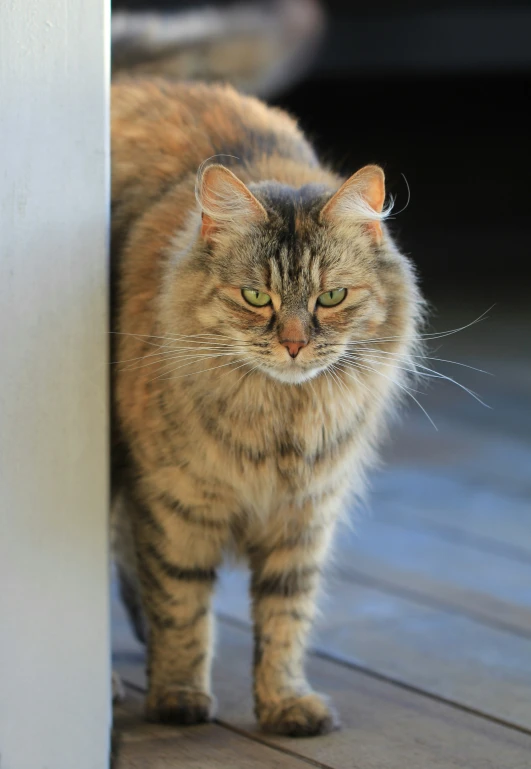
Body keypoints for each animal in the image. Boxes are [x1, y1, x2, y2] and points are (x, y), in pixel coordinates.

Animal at [111, 75, 424, 736]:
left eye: (332, 297)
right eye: (257, 297)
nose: (294, 343)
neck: (282, 418)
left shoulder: (305, 516)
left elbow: (286, 619)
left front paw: (285, 703)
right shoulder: (175, 506)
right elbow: (182, 608)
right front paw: (178, 697)